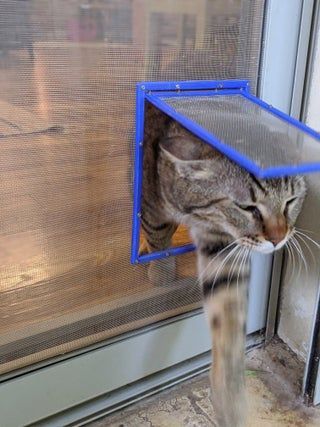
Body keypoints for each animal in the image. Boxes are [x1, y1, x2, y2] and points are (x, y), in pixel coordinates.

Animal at [141, 104, 306, 427]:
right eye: (248, 208)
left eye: (291, 201)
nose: (279, 239)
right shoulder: (151, 203)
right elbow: (158, 233)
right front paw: (161, 274)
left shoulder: (224, 250)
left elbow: (228, 315)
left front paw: (230, 396)